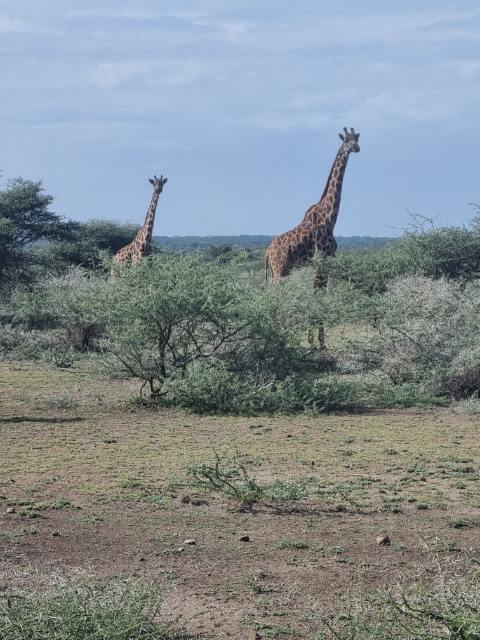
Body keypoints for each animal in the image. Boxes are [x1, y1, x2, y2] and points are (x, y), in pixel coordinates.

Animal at [266, 126, 360, 282]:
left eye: (356, 139)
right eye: (346, 140)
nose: (356, 148)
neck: (330, 219)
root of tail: (267, 251)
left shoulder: (330, 256)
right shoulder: (320, 257)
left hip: (276, 271)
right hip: (279, 270)